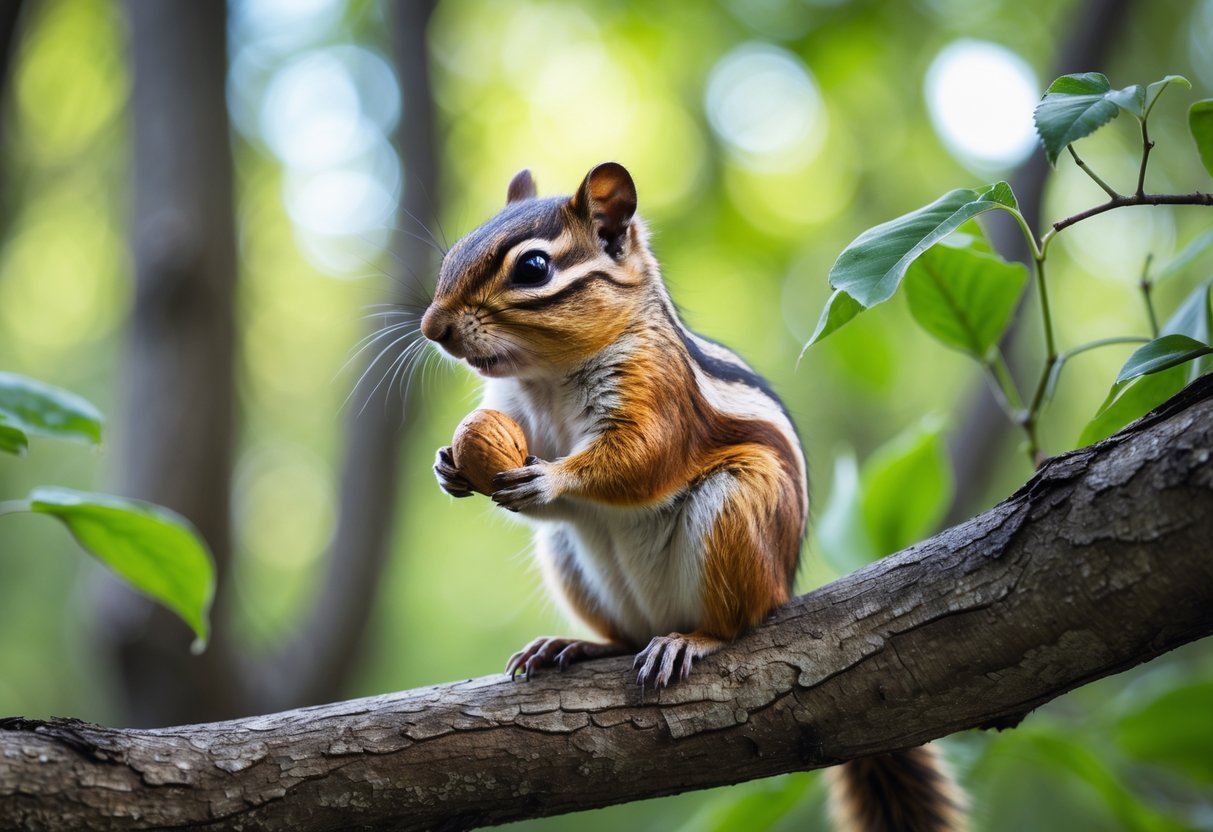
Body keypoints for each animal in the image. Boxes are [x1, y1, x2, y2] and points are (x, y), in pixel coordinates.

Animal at [419, 162, 966, 831]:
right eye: (452, 256)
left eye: (534, 268)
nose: (432, 327)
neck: (544, 379)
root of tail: (783, 585)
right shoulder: (512, 413)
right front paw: (449, 466)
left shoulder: (658, 392)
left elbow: (641, 458)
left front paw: (553, 477)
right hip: (570, 561)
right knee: (623, 635)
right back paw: (574, 645)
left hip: (735, 508)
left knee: (735, 623)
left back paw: (691, 639)